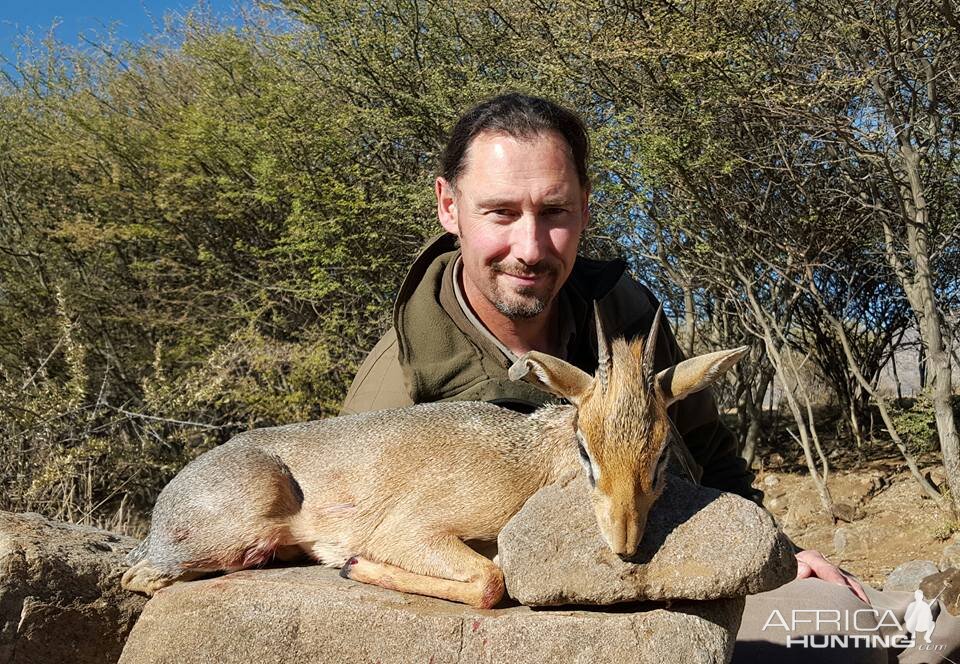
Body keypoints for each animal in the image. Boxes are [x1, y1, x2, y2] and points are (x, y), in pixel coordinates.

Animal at [122, 306, 752, 608]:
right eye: (584, 448)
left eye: (662, 453)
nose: (624, 545)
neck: (529, 462)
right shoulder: (411, 528)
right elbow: (494, 580)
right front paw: (352, 564)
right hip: (240, 527)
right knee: (140, 576)